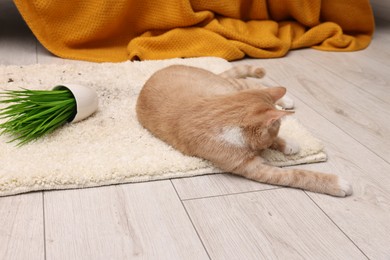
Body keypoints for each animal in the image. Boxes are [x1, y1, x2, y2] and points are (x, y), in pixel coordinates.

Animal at [136, 65, 352, 197]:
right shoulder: (252, 167)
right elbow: (296, 175)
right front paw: (337, 184)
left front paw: (287, 143)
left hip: (228, 86)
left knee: (253, 84)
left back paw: (285, 98)